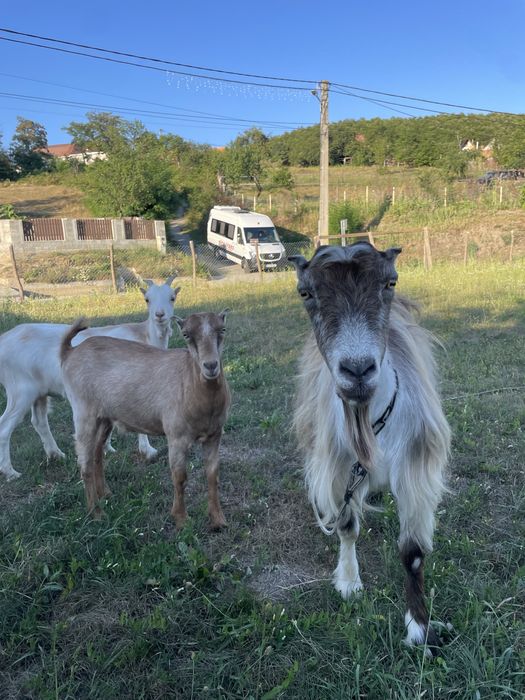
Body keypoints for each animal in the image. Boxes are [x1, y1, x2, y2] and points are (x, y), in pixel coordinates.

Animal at [0, 277, 180, 480]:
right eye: (147, 299)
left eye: (172, 298)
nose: (160, 315)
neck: (145, 335)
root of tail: (4, 340)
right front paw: (148, 451)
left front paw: (107, 448)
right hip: (20, 390)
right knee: (4, 427)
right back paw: (10, 472)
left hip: (38, 392)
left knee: (39, 422)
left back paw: (56, 454)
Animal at [60, 311, 231, 529]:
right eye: (186, 334)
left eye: (223, 329)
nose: (210, 366)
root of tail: (69, 352)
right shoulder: (177, 437)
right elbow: (180, 477)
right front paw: (181, 519)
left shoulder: (214, 435)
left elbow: (212, 475)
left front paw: (218, 520)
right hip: (83, 412)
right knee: (85, 464)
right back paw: (96, 513)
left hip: (104, 417)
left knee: (97, 453)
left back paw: (105, 493)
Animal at [289, 243, 451, 654]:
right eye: (305, 292)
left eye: (390, 282)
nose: (358, 370)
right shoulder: (337, 468)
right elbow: (347, 527)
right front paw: (349, 581)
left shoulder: (415, 469)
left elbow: (412, 553)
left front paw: (420, 628)